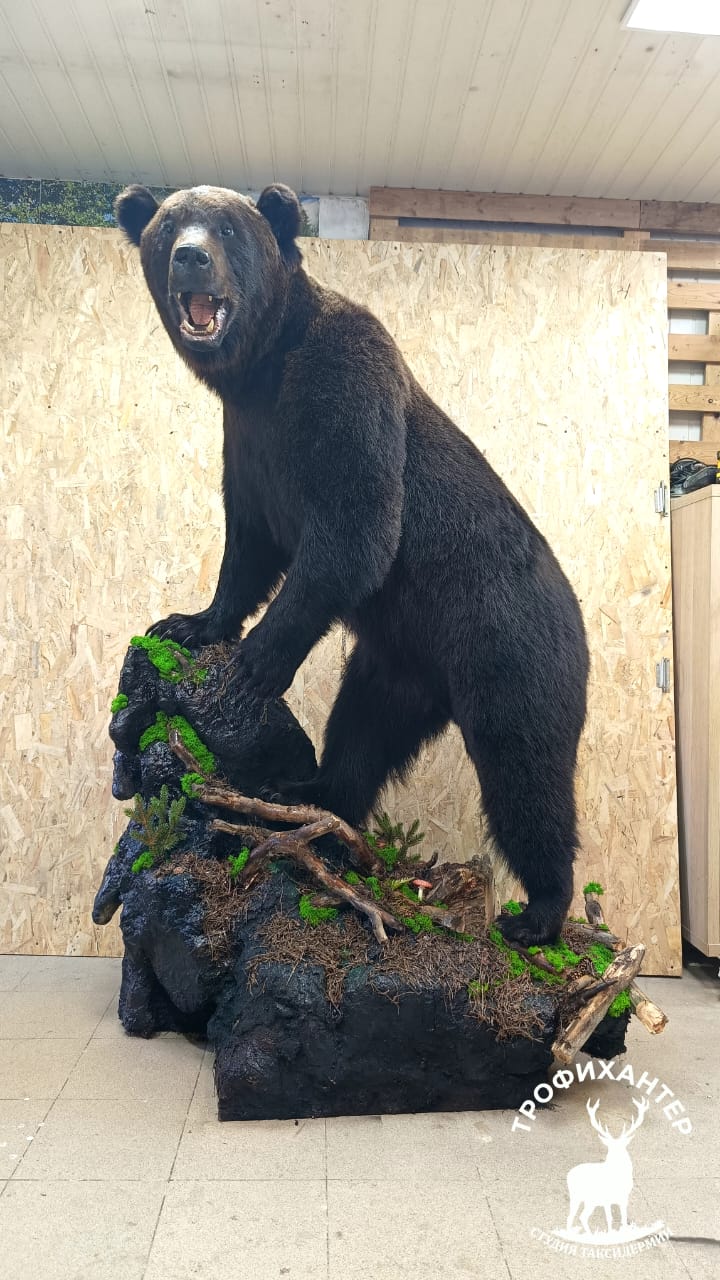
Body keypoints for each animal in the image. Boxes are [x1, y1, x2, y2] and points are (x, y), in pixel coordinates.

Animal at [115, 180, 589, 946]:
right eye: (167, 227)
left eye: (226, 227)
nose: (190, 257)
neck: (261, 370)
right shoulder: (248, 442)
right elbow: (249, 546)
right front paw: (190, 621)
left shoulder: (341, 386)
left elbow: (353, 533)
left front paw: (250, 665)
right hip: (398, 665)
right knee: (362, 732)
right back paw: (310, 797)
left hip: (509, 646)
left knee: (525, 772)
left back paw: (538, 910)